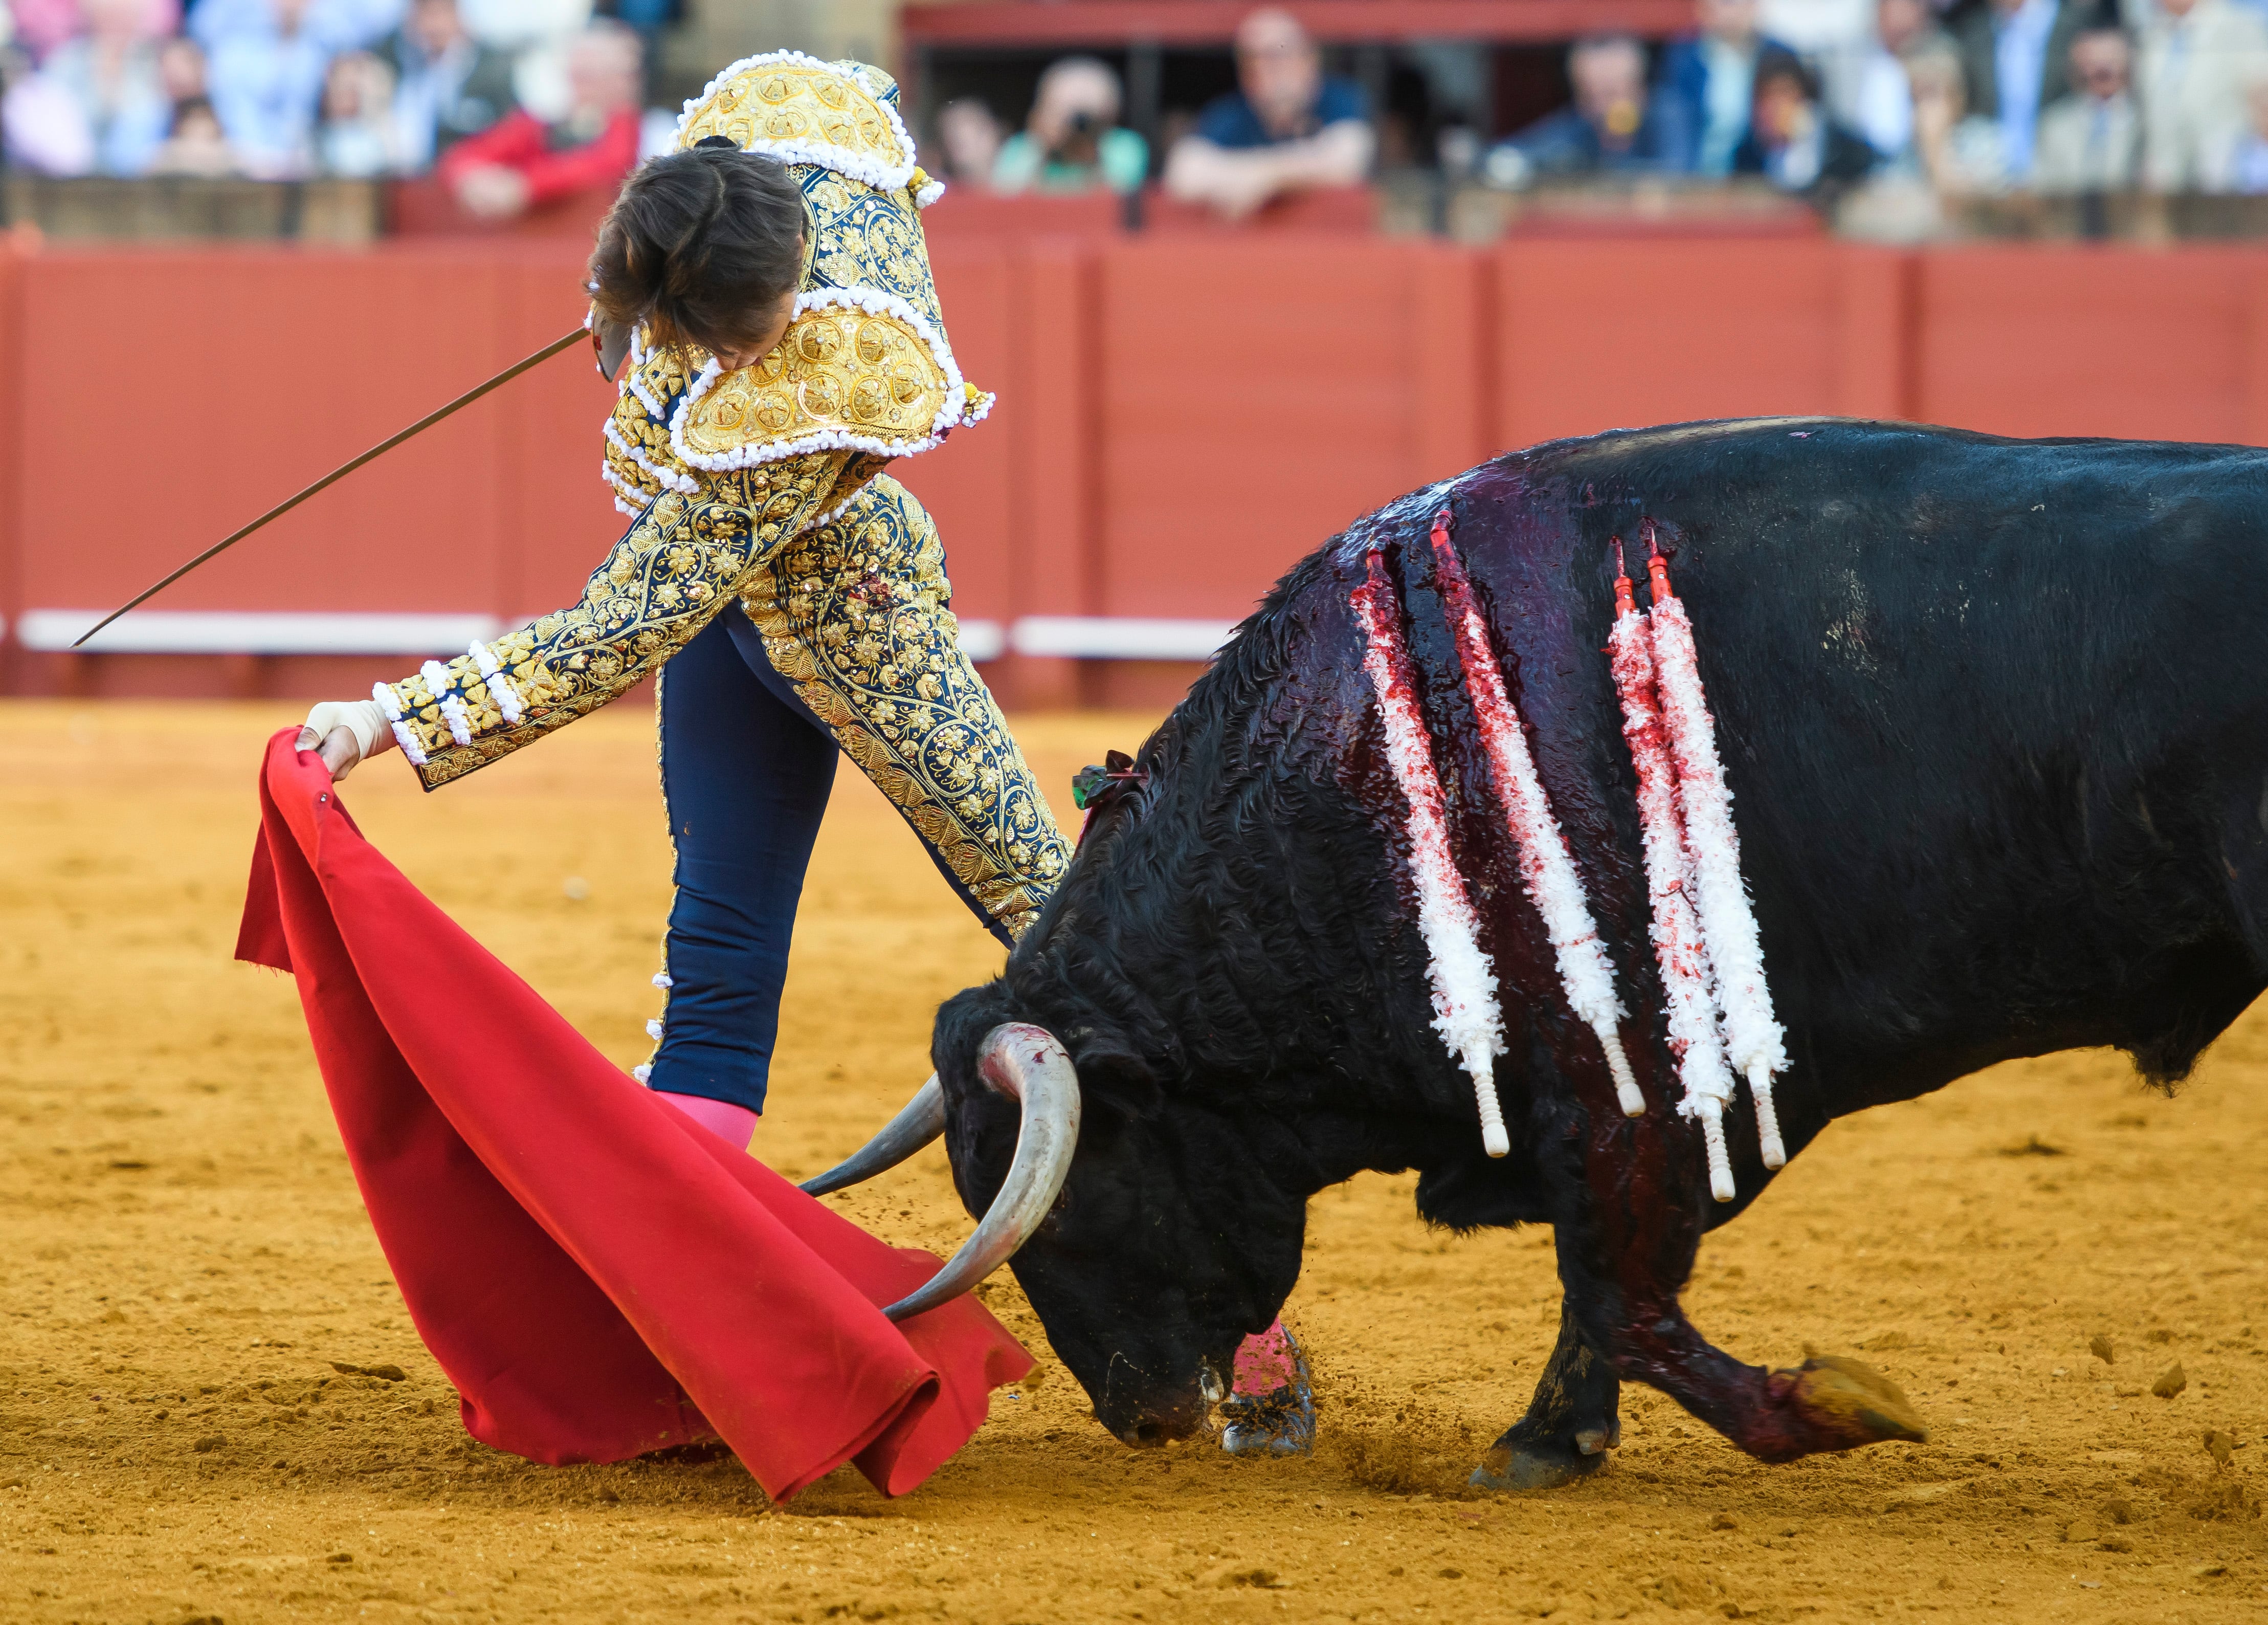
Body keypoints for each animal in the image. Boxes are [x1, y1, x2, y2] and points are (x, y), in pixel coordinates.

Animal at [921, 420, 2268, 1488]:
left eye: (1079, 1197)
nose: (1142, 1413)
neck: (1371, 766)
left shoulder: (1630, 1084)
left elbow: (1622, 1290)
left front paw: (1833, 1403)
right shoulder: (1614, 1099)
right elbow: (1605, 1286)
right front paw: (1547, 1443)